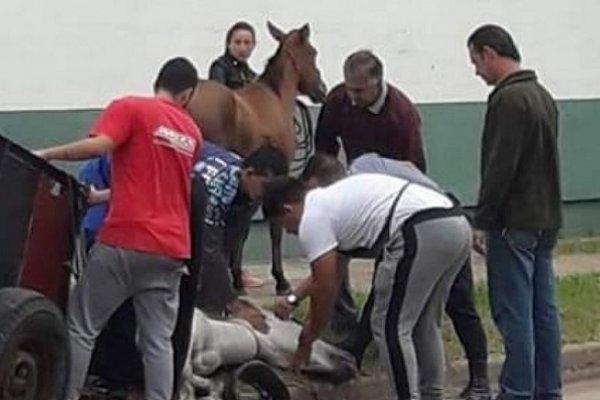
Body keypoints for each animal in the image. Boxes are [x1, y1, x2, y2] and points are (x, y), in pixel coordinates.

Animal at [186, 22, 326, 294]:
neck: (276, 97)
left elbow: (242, 229)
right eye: (312, 52)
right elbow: (270, 228)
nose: (322, 90)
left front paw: (237, 277)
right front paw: (279, 279)